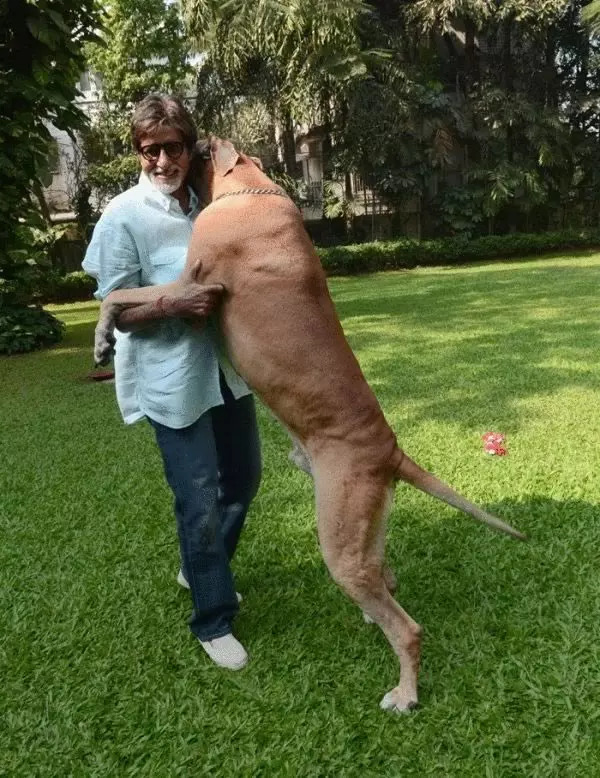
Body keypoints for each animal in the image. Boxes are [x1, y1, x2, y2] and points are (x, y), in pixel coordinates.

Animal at [92, 138, 524, 708]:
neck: (249, 187)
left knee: (407, 627)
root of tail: (389, 450)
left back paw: (405, 693)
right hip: (363, 529)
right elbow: (123, 295)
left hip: (339, 539)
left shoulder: (189, 283)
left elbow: (120, 295)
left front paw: (102, 334)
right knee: (385, 580)